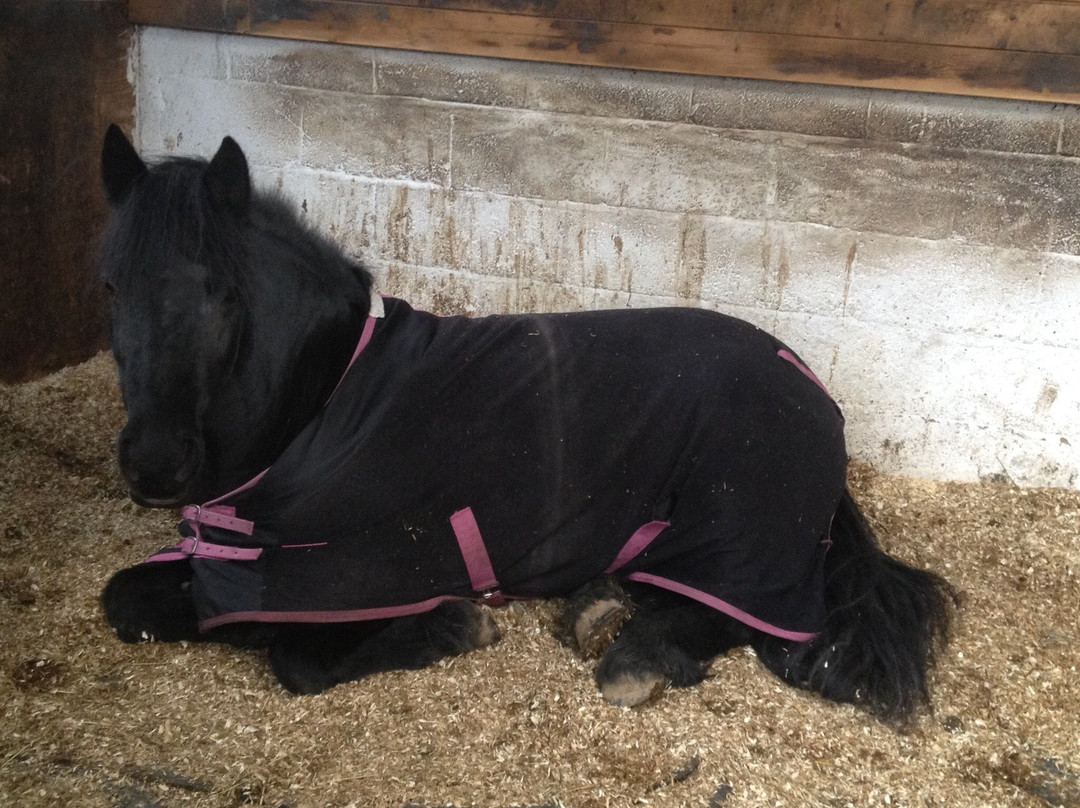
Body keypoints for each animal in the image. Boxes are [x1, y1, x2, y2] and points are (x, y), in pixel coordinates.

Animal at [95, 126, 954, 721]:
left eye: (221, 294)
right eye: (108, 283)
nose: (154, 464)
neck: (324, 406)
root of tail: (810, 388)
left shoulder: (353, 574)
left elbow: (296, 659)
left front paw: (452, 626)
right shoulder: (225, 567)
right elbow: (124, 601)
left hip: (742, 540)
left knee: (734, 619)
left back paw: (633, 655)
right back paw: (599, 606)